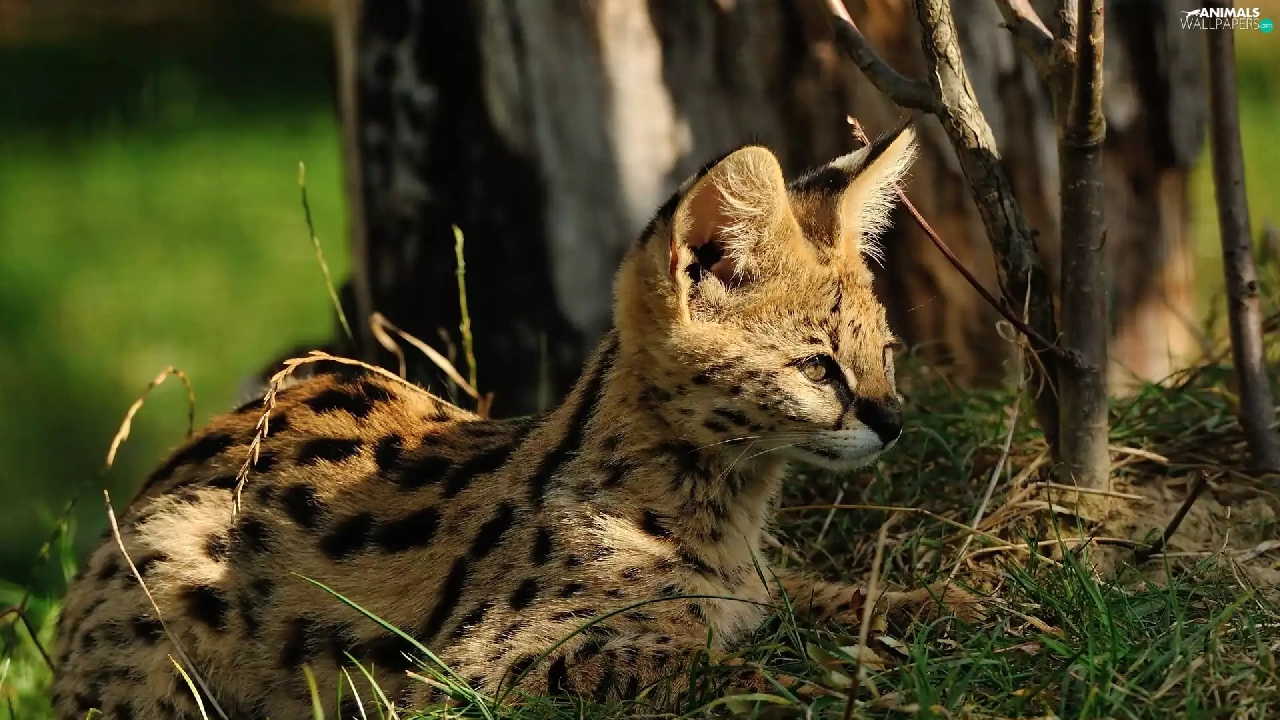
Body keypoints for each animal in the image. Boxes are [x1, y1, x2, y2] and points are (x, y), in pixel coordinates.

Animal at [51, 121, 974, 719]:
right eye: (819, 368)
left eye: (886, 354)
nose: (895, 422)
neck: (728, 513)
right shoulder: (486, 669)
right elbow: (711, 662)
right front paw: (815, 681)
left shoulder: (767, 589)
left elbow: (826, 599)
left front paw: (946, 602)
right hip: (170, 572)